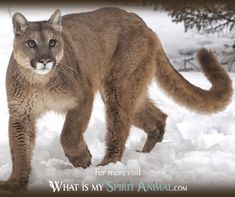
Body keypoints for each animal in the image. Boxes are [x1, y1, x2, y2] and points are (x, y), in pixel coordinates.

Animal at [0, 8, 231, 192]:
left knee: (119, 128)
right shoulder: (20, 114)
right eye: (31, 43)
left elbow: (69, 134)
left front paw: (82, 159)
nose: (45, 60)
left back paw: (108, 165)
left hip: (118, 87)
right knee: (158, 117)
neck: (40, 81)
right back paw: (145, 154)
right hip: (128, 89)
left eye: (52, 42)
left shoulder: (84, 97)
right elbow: (19, 149)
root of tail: (142, 22)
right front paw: (15, 182)